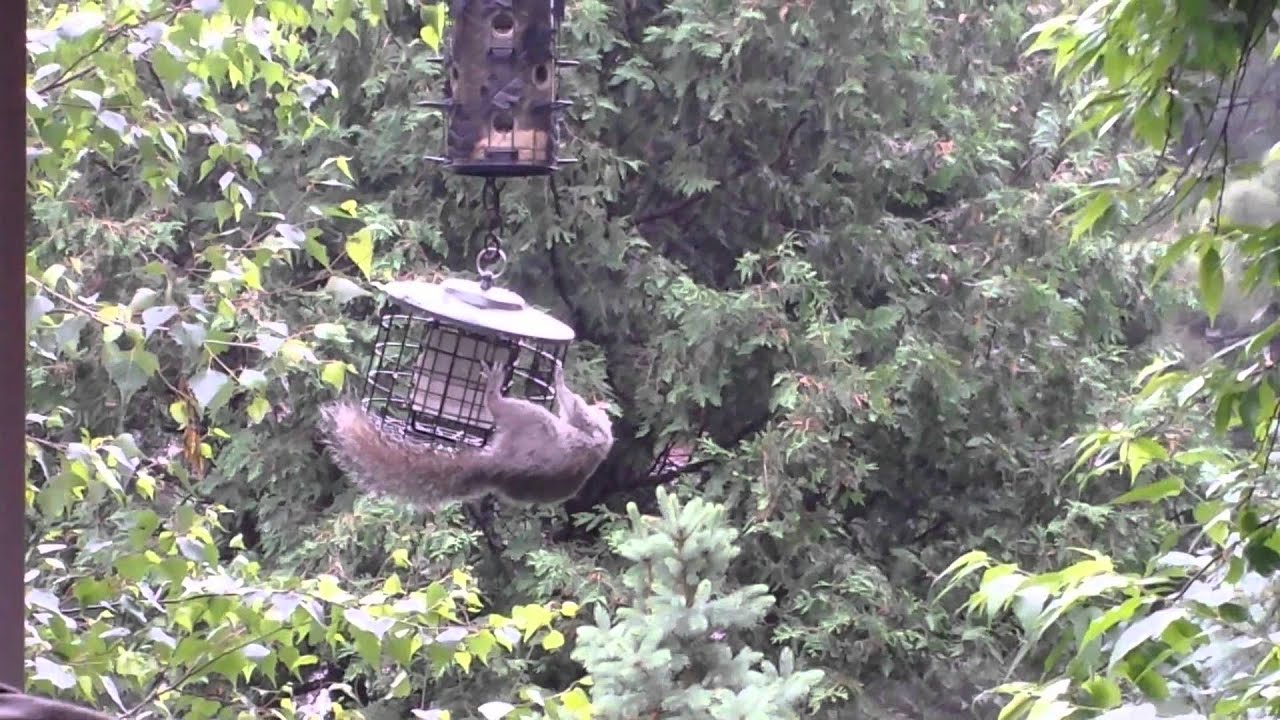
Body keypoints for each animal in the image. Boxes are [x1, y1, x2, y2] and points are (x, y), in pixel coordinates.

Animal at [319, 359, 614, 510]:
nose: (601, 405)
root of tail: (501, 463)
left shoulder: (585, 423)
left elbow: (572, 405)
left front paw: (560, 378)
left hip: (530, 418)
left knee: (499, 406)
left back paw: (493, 389)